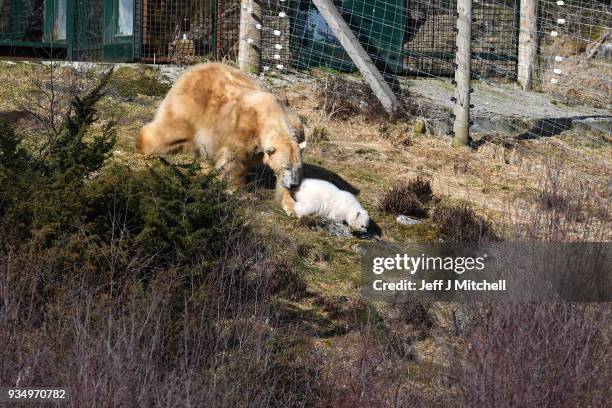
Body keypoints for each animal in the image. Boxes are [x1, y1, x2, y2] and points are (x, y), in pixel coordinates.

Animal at [135, 62, 304, 215]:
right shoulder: (242, 129)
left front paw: (291, 206)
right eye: (286, 166)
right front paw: (239, 193)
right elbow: (232, 161)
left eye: (297, 167)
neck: (271, 115)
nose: (294, 185)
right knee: (170, 132)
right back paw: (142, 145)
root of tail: (193, 69)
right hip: (192, 109)